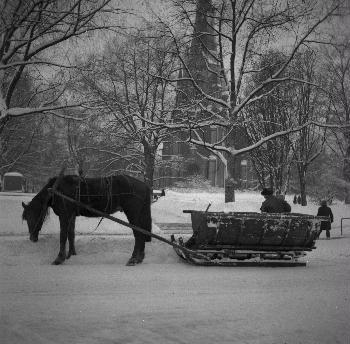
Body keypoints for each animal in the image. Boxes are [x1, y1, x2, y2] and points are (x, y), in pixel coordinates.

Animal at [21, 175, 152, 266]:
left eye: (30, 217)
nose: (32, 238)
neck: (56, 190)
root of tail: (144, 185)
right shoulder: (71, 215)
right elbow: (71, 234)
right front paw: (71, 254)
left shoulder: (64, 215)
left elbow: (63, 236)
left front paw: (59, 258)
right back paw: (139, 258)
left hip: (132, 213)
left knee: (138, 234)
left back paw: (133, 259)